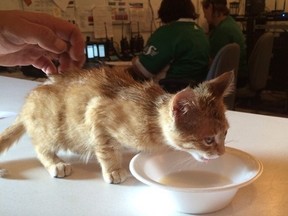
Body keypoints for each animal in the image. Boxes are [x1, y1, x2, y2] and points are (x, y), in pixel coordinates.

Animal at [0, 67, 233, 182]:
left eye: (225, 134)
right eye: (208, 139)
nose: (222, 153)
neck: (150, 115)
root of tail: (27, 102)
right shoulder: (96, 112)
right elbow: (107, 148)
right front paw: (113, 170)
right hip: (52, 127)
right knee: (40, 146)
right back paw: (55, 163)